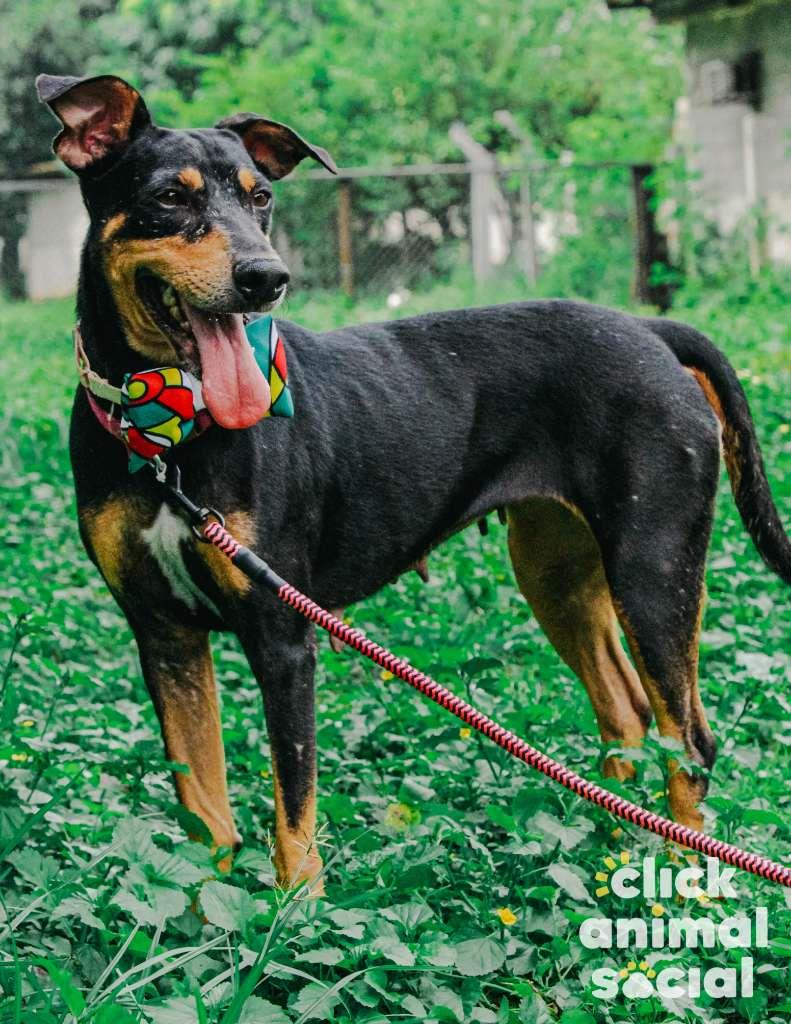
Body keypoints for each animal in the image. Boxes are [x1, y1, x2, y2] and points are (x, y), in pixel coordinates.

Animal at [37, 73, 790, 891]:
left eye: (261, 196)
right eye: (170, 197)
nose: (267, 278)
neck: (170, 428)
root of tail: (652, 330)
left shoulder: (283, 636)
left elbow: (293, 810)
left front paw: (297, 910)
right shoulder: (164, 635)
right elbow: (203, 808)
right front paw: (212, 907)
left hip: (654, 571)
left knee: (690, 743)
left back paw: (683, 883)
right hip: (556, 570)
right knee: (625, 713)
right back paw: (610, 848)